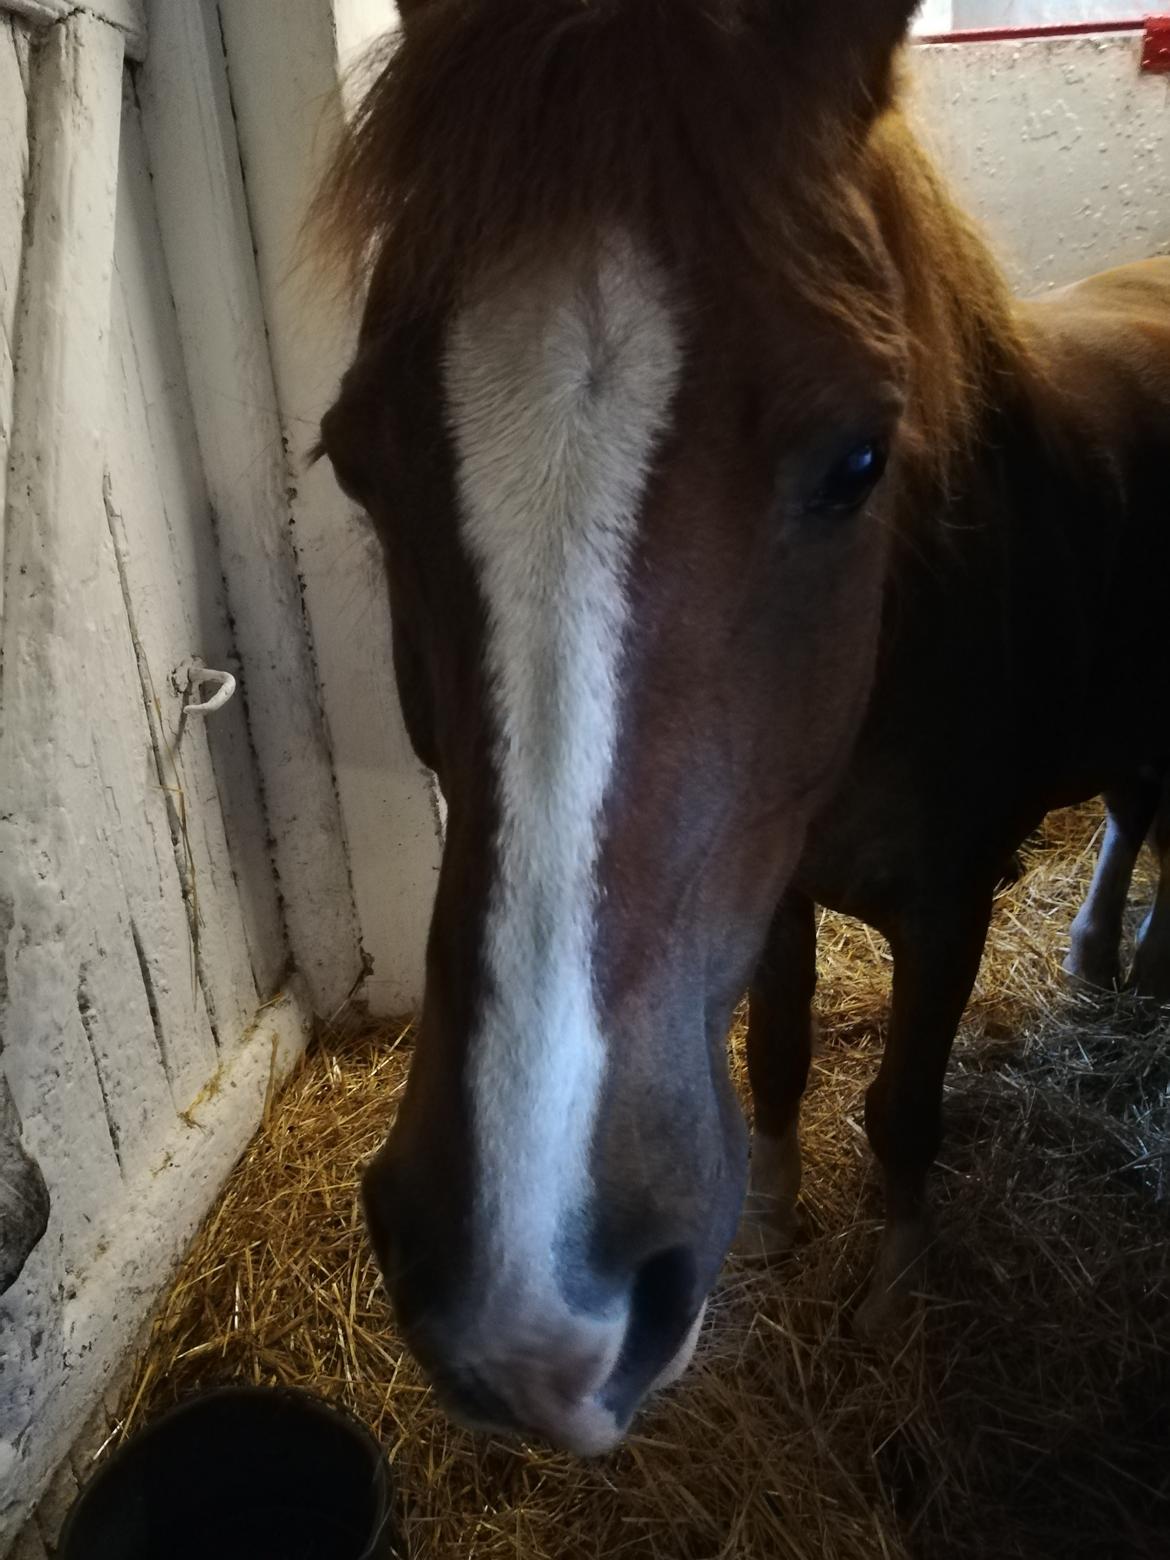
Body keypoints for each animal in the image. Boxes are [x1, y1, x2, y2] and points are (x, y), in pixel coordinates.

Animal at [315, 0, 1170, 1454]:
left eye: (861, 461)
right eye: (353, 462)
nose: (529, 1311)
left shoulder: (948, 905)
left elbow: (902, 1103)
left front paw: (895, 1279)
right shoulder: (766, 884)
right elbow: (774, 1051)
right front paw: (772, 1217)